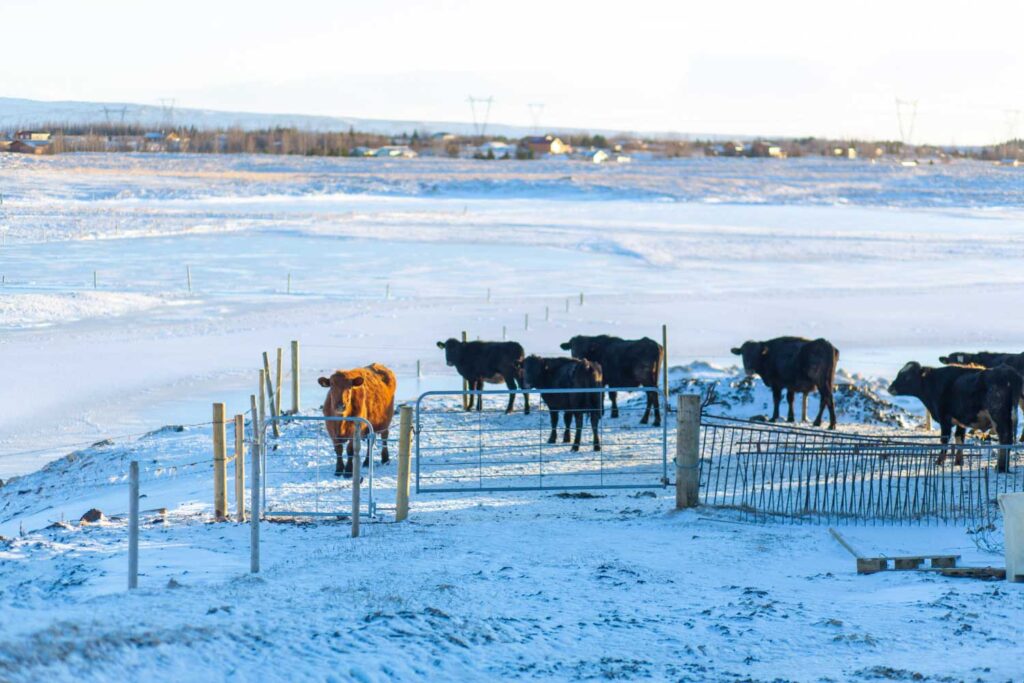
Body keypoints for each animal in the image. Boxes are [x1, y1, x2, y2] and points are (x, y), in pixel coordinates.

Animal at [884, 362, 1019, 471]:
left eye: (906, 376)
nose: (890, 388)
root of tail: (1007, 371)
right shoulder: (961, 421)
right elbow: (959, 439)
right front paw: (958, 462)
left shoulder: (944, 419)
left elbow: (944, 440)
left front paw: (939, 461)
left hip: (998, 415)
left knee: (1004, 438)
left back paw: (1001, 467)